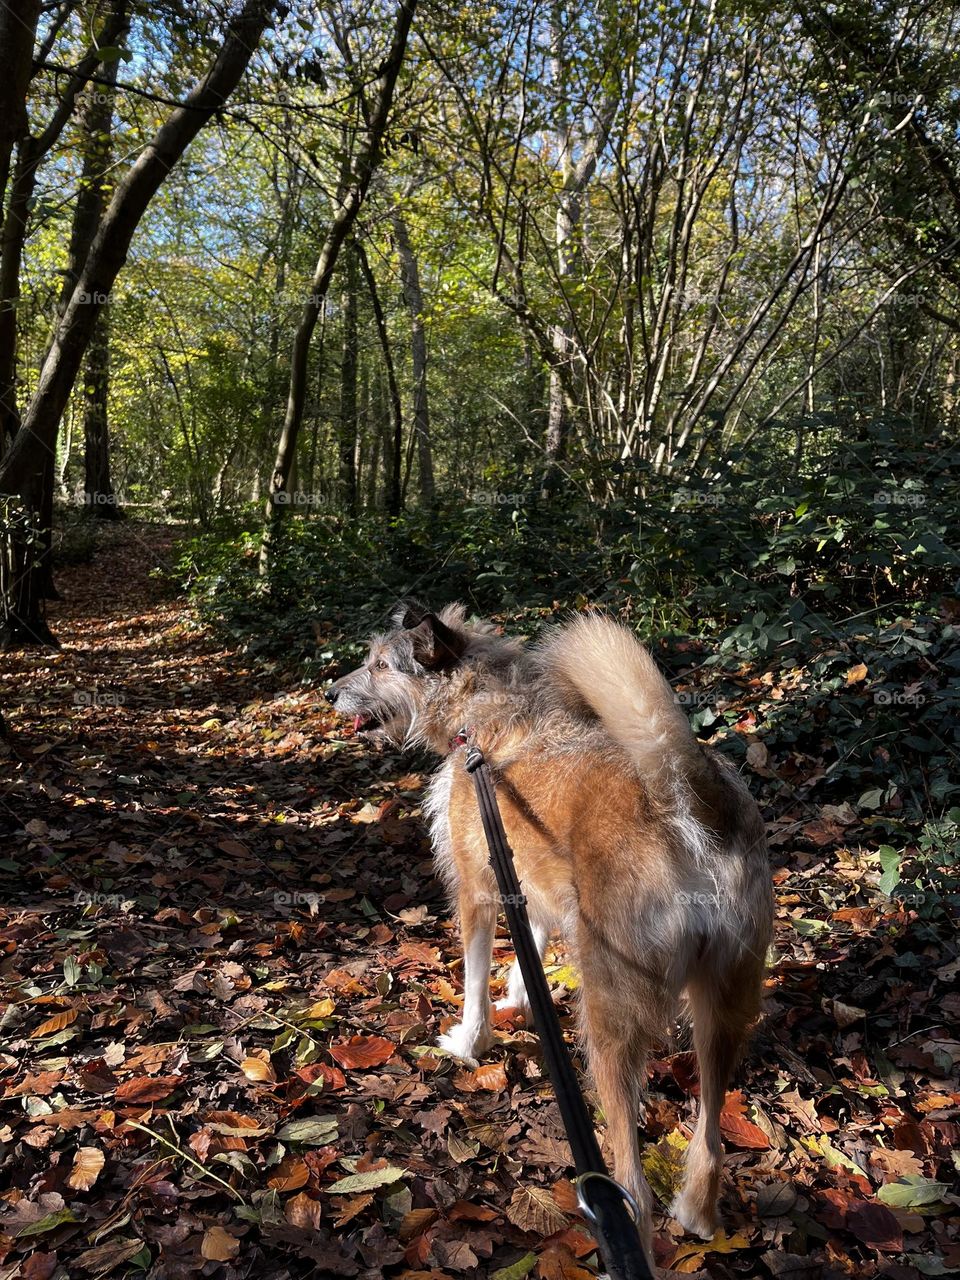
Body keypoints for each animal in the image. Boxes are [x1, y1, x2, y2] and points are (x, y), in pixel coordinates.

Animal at [327, 601, 778, 1259]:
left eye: (381, 665)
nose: (330, 692)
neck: (484, 713)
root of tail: (691, 805)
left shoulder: (477, 888)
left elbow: (474, 976)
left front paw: (470, 1040)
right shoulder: (525, 880)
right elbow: (531, 947)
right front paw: (521, 997)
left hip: (611, 1015)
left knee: (632, 1186)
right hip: (724, 1005)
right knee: (711, 1137)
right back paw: (696, 1212)